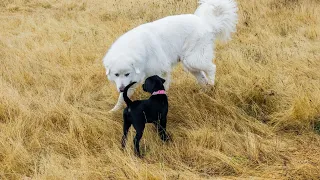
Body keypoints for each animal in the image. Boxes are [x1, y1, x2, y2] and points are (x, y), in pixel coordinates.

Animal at [102, 0, 238, 111]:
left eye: (127, 73)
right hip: (189, 64)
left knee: (211, 68)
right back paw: (204, 91)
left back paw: (212, 84)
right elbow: (122, 97)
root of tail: (206, 23)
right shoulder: (132, 81)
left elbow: (161, 89)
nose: (120, 88)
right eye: (116, 75)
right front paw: (113, 111)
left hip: (193, 60)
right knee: (202, 77)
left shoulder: (161, 70)